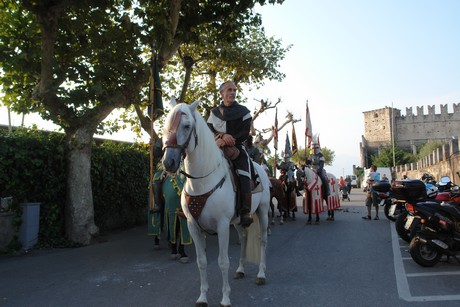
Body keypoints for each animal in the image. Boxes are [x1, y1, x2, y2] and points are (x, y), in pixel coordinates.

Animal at [162, 101, 272, 307]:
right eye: (166, 124)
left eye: (186, 126)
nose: (169, 162)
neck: (202, 180)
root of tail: (261, 169)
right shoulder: (194, 226)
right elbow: (202, 262)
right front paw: (202, 297)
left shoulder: (222, 226)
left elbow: (223, 262)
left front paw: (225, 298)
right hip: (239, 221)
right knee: (244, 238)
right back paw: (240, 270)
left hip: (262, 212)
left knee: (262, 240)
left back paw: (261, 274)